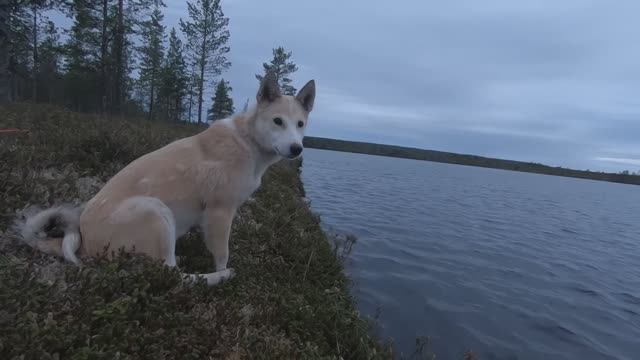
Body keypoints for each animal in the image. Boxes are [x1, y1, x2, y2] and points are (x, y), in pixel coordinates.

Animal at [15, 73, 316, 286]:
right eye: (278, 121)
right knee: (174, 276)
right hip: (156, 210)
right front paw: (222, 270)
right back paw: (218, 278)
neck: (248, 141)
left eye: (300, 124)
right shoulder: (220, 212)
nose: (297, 149)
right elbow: (222, 254)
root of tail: (86, 242)